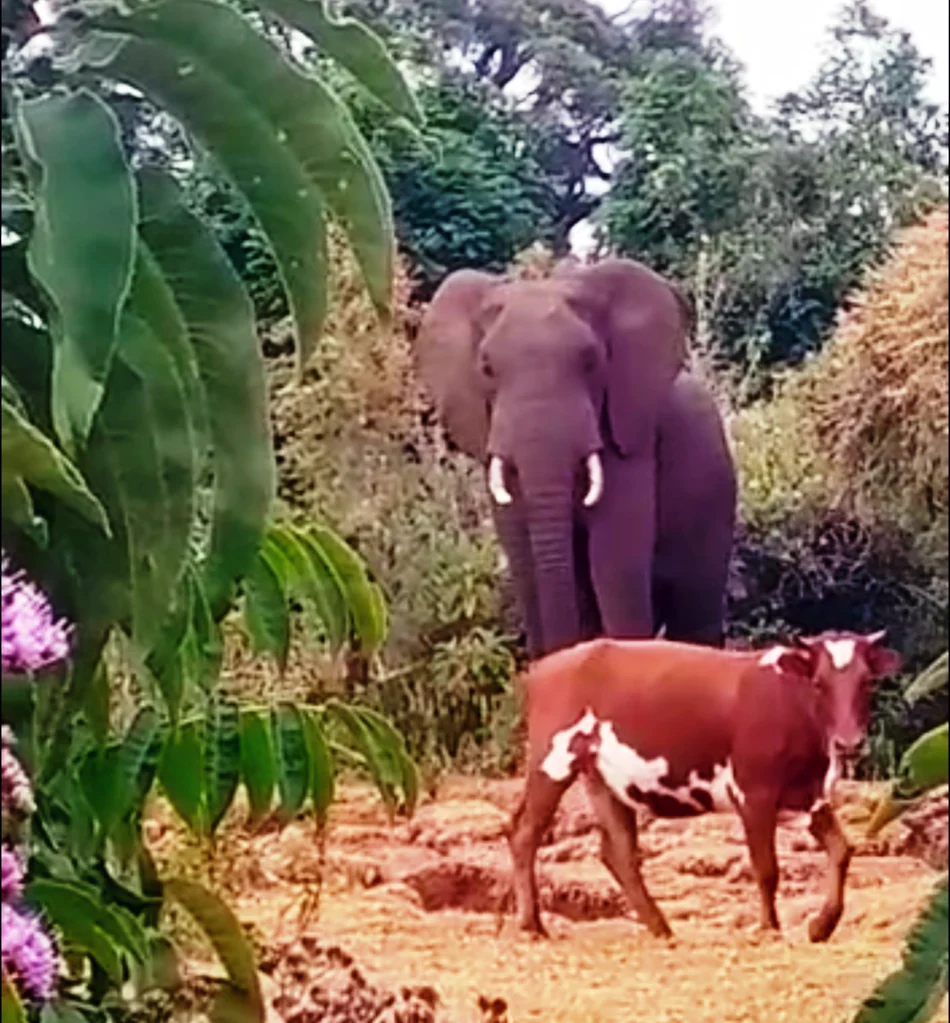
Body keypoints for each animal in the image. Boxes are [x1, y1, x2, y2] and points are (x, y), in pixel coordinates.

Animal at [506, 631, 901, 943]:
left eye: (866, 682)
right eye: (819, 683)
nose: (849, 742)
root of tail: (545, 666)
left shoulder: (808, 795)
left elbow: (841, 850)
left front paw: (822, 926)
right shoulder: (753, 792)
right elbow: (766, 867)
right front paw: (769, 928)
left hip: (603, 779)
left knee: (618, 853)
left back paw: (661, 928)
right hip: (552, 760)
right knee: (525, 832)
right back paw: (532, 925)